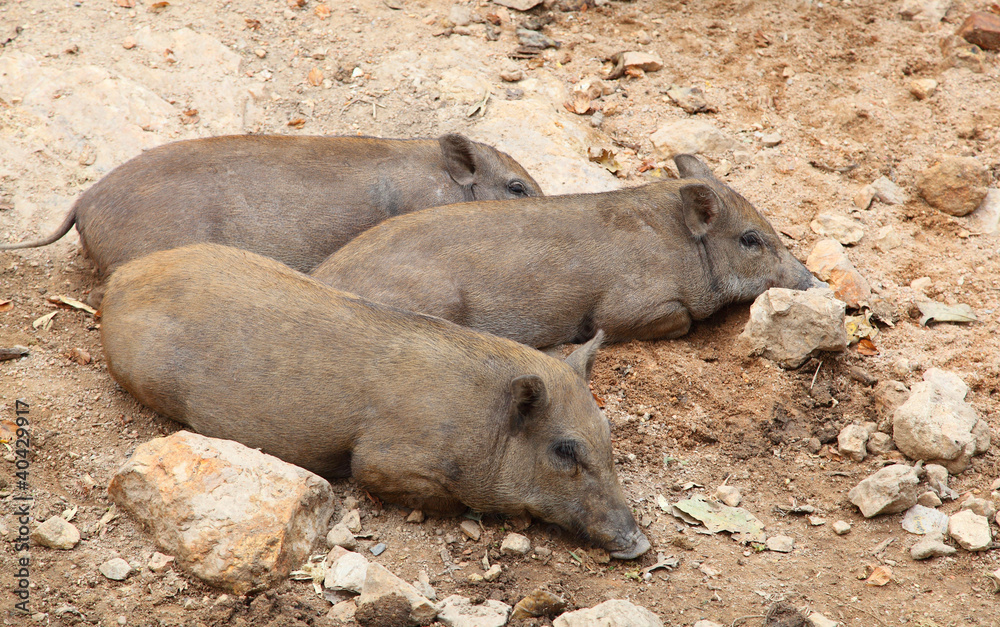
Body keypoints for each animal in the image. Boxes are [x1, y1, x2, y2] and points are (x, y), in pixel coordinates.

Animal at [100, 243, 650, 560]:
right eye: (564, 450)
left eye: (608, 435)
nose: (641, 543)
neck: (481, 422)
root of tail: (120, 279)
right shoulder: (380, 460)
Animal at [312, 154, 822, 348]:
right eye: (751, 239)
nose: (816, 282)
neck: (682, 250)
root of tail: (320, 280)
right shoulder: (624, 306)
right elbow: (679, 322)